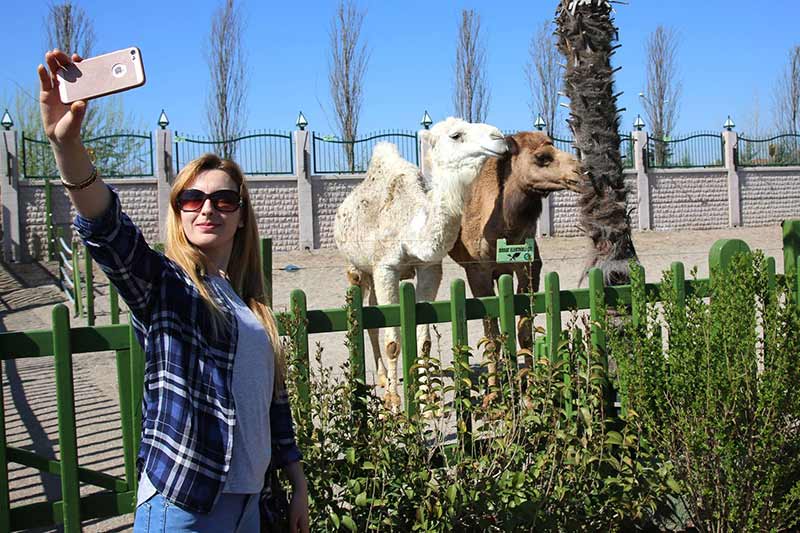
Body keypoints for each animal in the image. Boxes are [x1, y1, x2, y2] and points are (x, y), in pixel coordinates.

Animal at [332, 117, 506, 408]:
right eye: (456, 135)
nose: (500, 138)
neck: (410, 230)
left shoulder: (429, 269)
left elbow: (423, 340)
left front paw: (428, 400)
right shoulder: (386, 268)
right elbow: (393, 342)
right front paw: (393, 402)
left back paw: (383, 377)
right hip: (356, 269)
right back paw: (377, 381)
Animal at [450, 129, 580, 354]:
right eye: (542, 157)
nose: (582, 171)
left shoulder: (529, 265)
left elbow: (525, 334)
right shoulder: (476, 270)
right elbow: (491, 340)